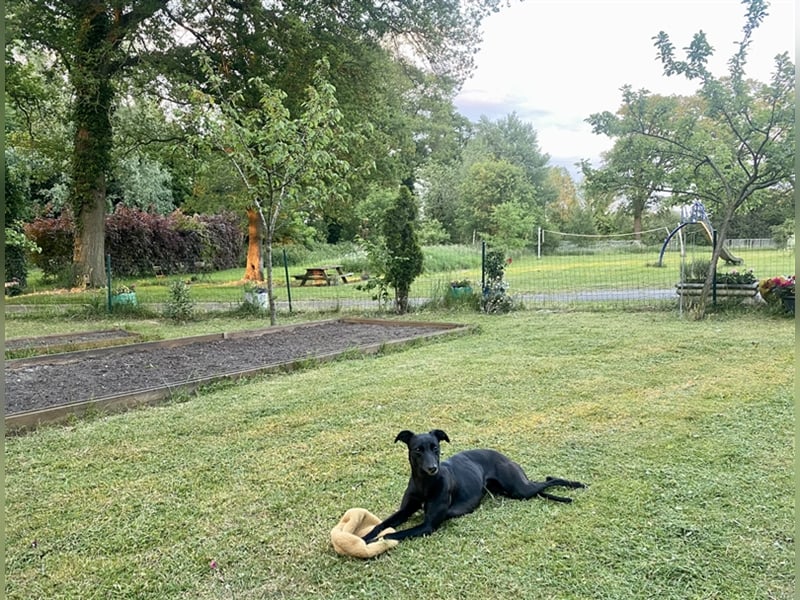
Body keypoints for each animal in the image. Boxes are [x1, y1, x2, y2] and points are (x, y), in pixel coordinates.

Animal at [366, 428, 584, 540]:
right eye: (418, 450)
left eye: (435, 448)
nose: (432, 468)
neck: (425, 484)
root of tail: (503, 456)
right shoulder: (404, 511)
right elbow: (380, 527)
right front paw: (365, 537)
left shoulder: (428, 525)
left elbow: (388, 536)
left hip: (519, 488)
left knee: (549, 481)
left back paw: (574, 486)